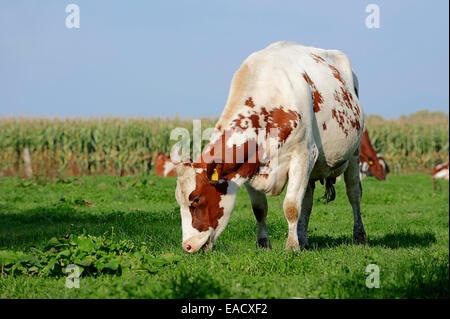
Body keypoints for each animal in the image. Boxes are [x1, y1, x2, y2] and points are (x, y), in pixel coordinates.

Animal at [174, 41, 368, 254]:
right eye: (179, 202)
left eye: (196, 199)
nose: (187, 246)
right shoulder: (249, 166)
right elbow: (260, 208)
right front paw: (264, 242)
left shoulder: (302, 155)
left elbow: (291, 206)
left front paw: (291, 247)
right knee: (307, 201)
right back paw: (303, 238)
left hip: (354, 154)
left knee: (354, 193)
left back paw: (359, 236)